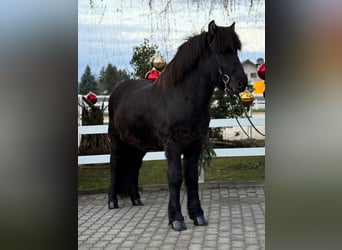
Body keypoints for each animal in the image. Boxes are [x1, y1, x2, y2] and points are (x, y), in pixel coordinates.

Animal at [108, 20, 247, 231]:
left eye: (235, 50)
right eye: (220, 51)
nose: (242, 83)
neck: (182, 97)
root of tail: (117, 90)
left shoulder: (194, 145)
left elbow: (191, 178)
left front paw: (197, 215)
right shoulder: (173, 146)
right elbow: (175, 178)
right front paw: (176, 219)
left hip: (138, 145)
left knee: (134, 166)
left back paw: (136, 199)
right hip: (116, 141)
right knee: (115, 166)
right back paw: (112, 201)